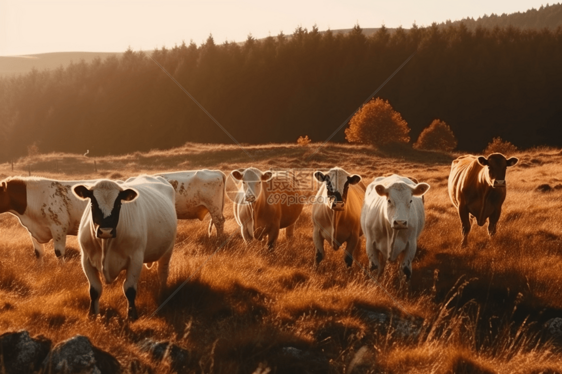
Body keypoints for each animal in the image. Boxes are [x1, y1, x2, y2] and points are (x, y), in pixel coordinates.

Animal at [72, 175, 176, 318]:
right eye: (92, 203)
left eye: (118, 204)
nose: (106, 231)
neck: (106, 243)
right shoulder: (86, 259)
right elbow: (94, 290)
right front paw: (92, 315)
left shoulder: (136, 259)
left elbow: (129, 289)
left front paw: (132, 316)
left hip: (168, 250)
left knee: (163, 274)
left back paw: (162, 296)